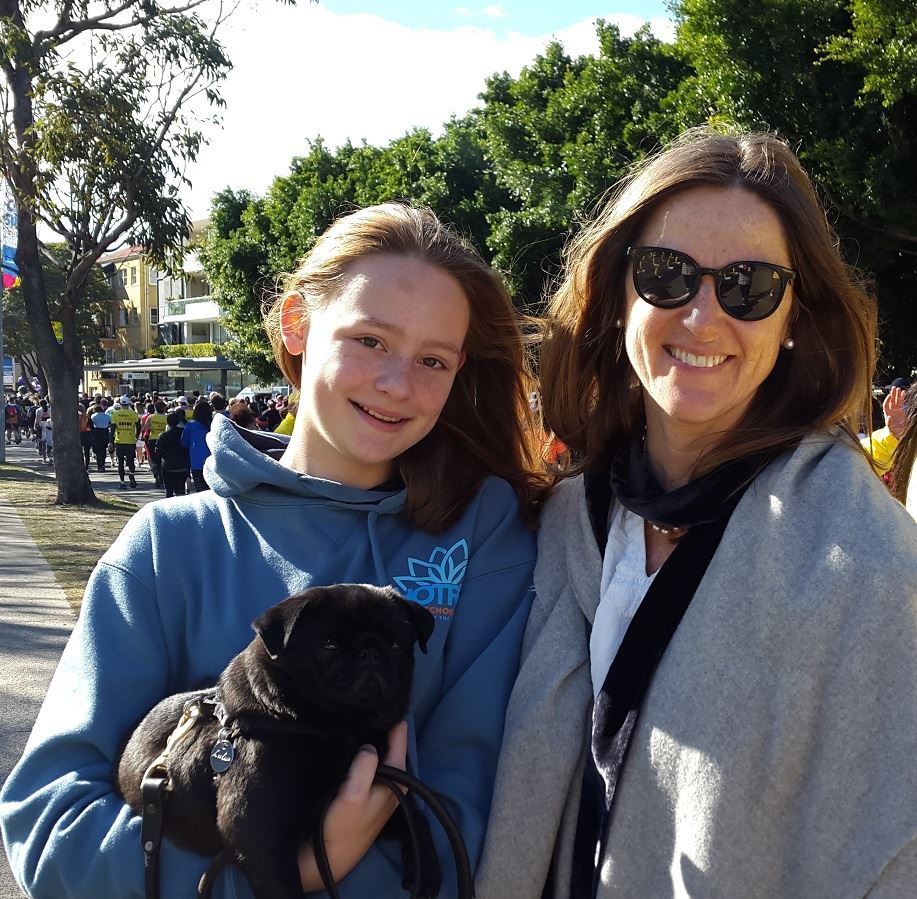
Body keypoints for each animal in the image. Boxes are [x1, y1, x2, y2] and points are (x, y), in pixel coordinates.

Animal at [115, 583, 437, 898]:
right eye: (330, 645)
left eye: (397, 645)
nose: (370, 652)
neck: (339, 729)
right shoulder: (257, 832)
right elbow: (283, 888)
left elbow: (411, 814)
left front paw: (425, 866)